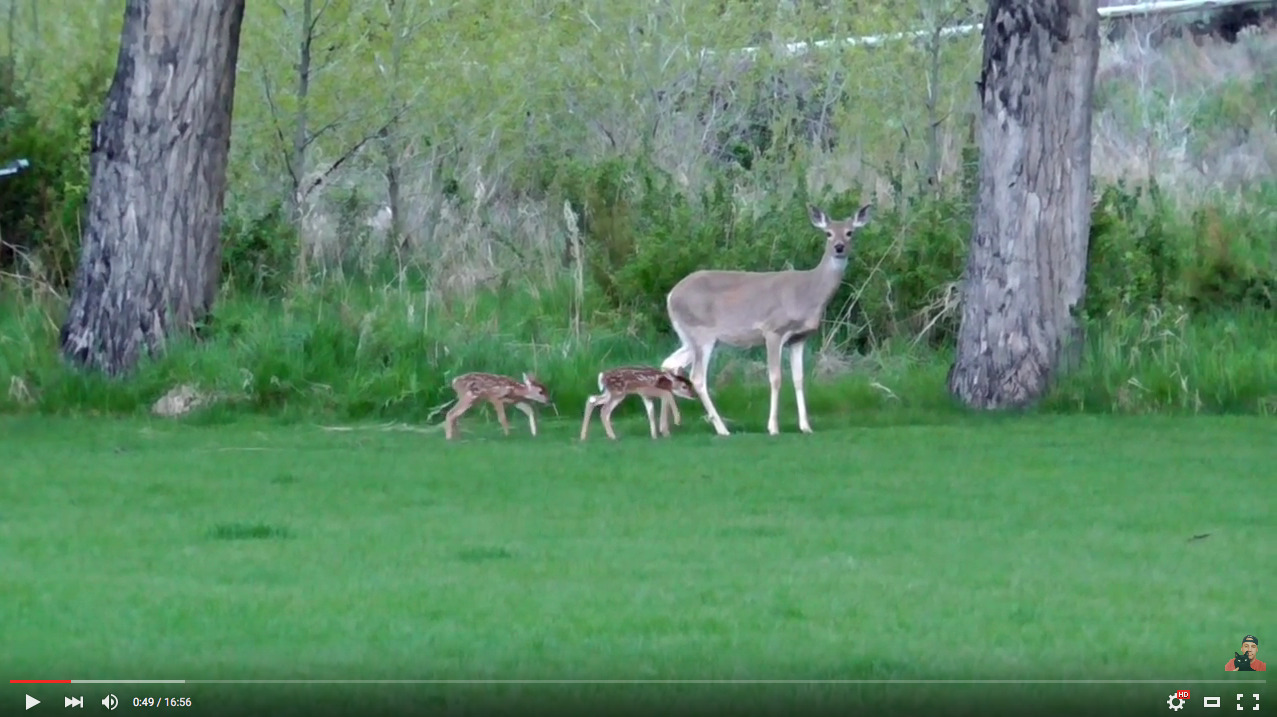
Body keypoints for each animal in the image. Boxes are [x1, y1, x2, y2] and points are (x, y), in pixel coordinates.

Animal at [664, 203, 873, 437]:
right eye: (828, 233)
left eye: (850, 232)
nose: (839, 247)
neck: (809, 292)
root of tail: (671, 295)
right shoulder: (773, 330)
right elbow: (776, 378)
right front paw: (773, 427)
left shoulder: (799, 338)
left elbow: (799, 379)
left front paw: (805, 426)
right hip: (701, 333)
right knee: (698, 378)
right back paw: (722, 429)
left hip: (691, 337)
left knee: (669, 364)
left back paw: (667, 426)